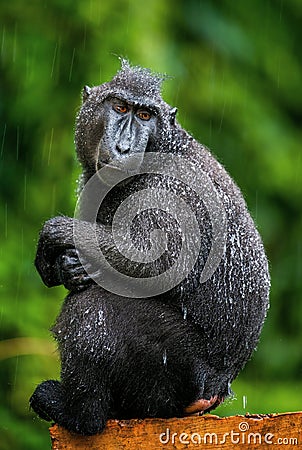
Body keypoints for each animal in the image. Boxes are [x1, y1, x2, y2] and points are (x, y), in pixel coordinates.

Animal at [30, 61, 272, 434]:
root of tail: (216, 390)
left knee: (95, 305)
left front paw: (56, 234)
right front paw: (68, 266)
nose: (125, 146)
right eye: (119, 108)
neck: (166, 146)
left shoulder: (172, 186)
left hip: (178, 370)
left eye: (145, 115)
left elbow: (156, 263)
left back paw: (79, 414)